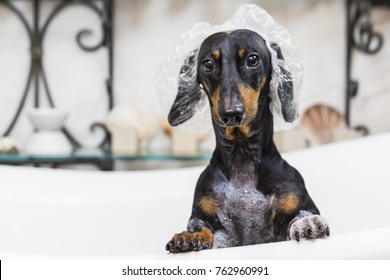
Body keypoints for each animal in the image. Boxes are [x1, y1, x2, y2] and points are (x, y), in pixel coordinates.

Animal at [165, 29, 330, 253]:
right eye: (207, 64)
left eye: (252, 59)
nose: (231, 114)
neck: (242, 155)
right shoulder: (203, 217)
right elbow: (202, 227)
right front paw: (191, 237)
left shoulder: (300, 204)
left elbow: (300, 215)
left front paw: (307, 223)